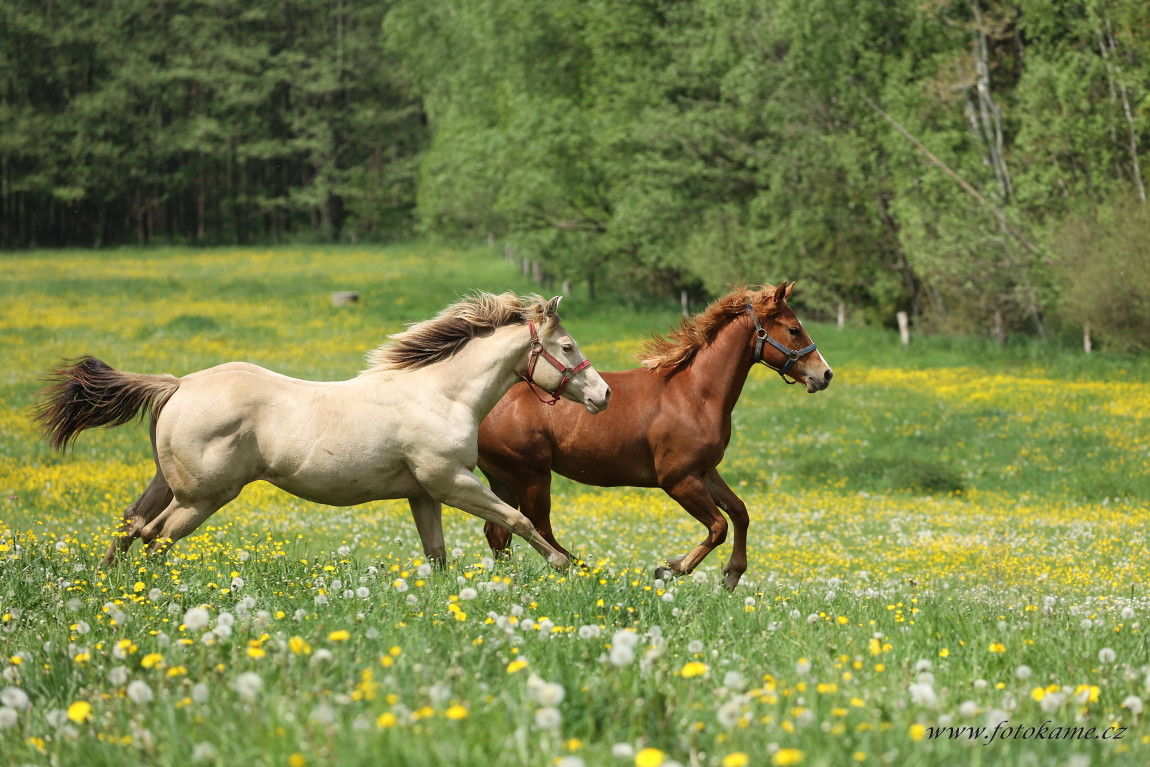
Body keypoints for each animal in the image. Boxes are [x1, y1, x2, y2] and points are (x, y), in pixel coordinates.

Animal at [33, 290, 611, 568]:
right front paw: (566, 565)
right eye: (567, 346)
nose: (602, 395)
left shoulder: (424, 494)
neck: (441, 395)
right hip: (202, 497)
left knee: (130, 524)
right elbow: (518, 520)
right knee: (157, 538)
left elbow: (438, 555)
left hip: (168, 483)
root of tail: (178, 384)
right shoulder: (452, 483)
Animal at [480, 285, 832, 593]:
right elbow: (719, 527)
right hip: (532, 476)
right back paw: (587, 571)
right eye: (794, 329)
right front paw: (671, 569)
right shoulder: (678, 480)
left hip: (505, 480)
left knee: (500, 531)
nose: (825, 374)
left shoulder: (704, 471)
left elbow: (740, 512)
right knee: (537, 528)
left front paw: (732, 574)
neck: (694, 393)